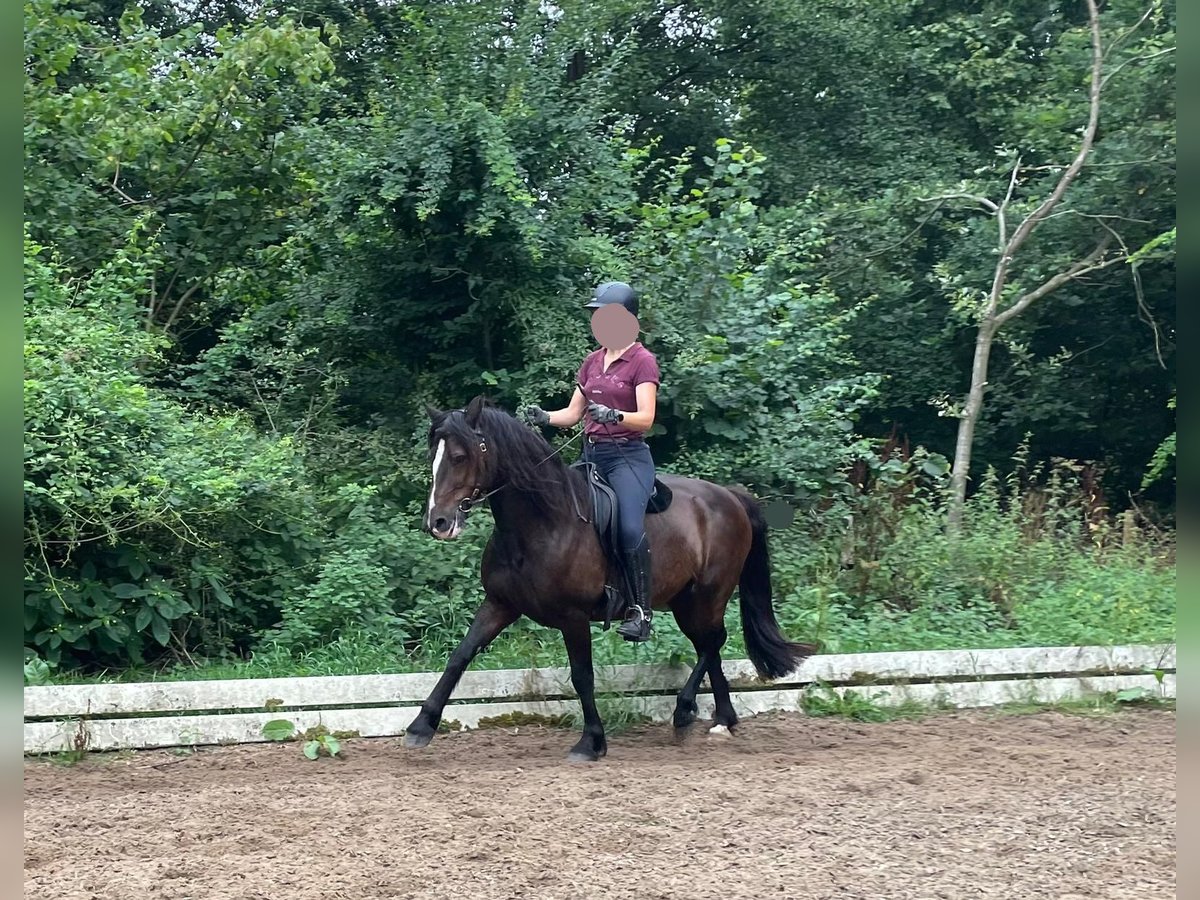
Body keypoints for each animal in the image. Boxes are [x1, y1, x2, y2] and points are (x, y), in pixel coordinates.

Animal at [403, 393, 816, 763]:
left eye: (460, 457)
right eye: (432, 455)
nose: (438, 523)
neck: (542, 523)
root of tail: (729, 496)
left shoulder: (572, 617)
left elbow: (582, 676)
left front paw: (592, 742)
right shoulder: (500, 604)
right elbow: (459, 656)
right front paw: (421, 726)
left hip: (708, 594)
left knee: (713, 641)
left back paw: (685, 711)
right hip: (686, 601)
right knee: (708, 645)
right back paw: (720, 721)